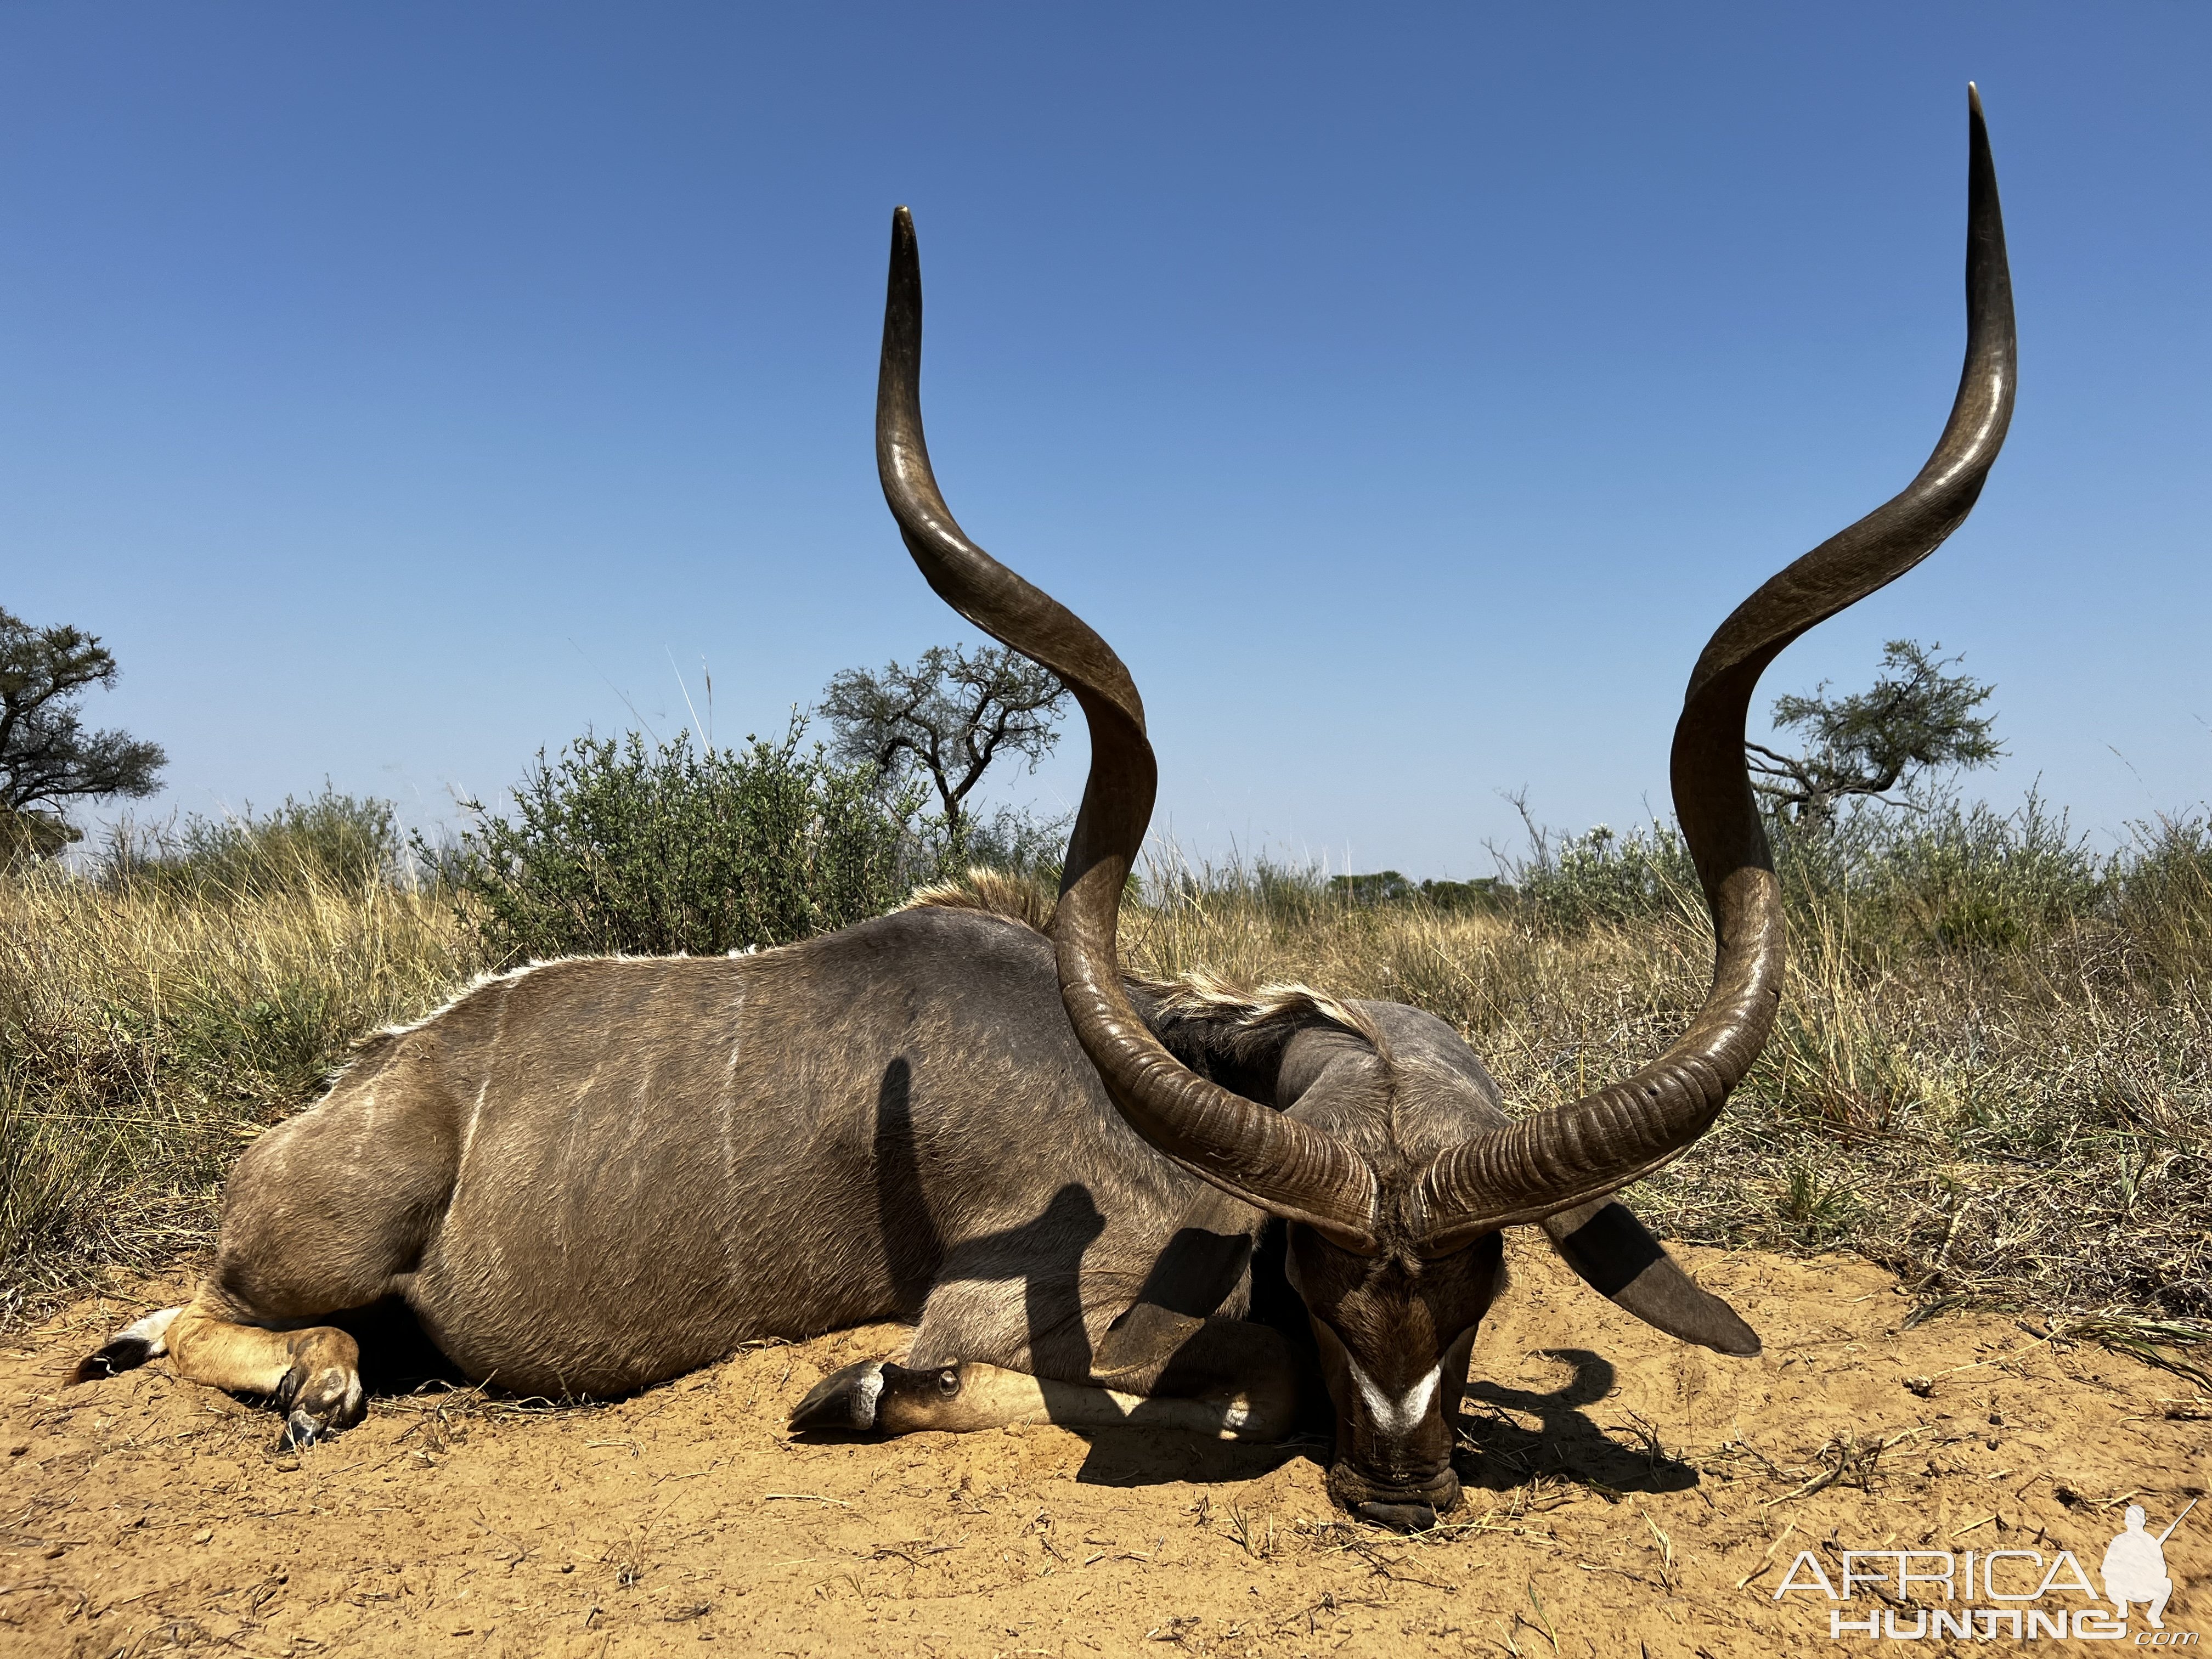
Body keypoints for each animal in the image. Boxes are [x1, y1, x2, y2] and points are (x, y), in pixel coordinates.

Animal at [78, 94, 2017, 1531]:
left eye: (1486, 1287)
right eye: (1315, 1277)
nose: (1403, 1486)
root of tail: (371, 1076)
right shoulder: (1012, 1306)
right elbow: (1190, 1392)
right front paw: (854, 1386)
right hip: (328, 1232)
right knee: (214, 1314)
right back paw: (322, 1378)